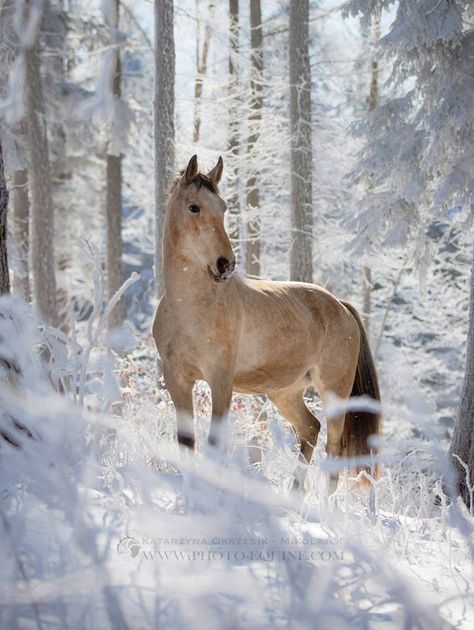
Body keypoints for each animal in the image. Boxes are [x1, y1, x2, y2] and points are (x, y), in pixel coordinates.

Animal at [154, 154, 384, 488]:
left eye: (223, 207)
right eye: (193, 207)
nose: (225, 264)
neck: (190, 309)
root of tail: (341, 306)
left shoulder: (220, 382)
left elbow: (213, 444)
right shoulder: (178, 379)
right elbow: (186, 443)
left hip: (334, 392)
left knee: (334, 449)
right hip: (284, 392)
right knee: (310, 429)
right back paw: (295, 494)